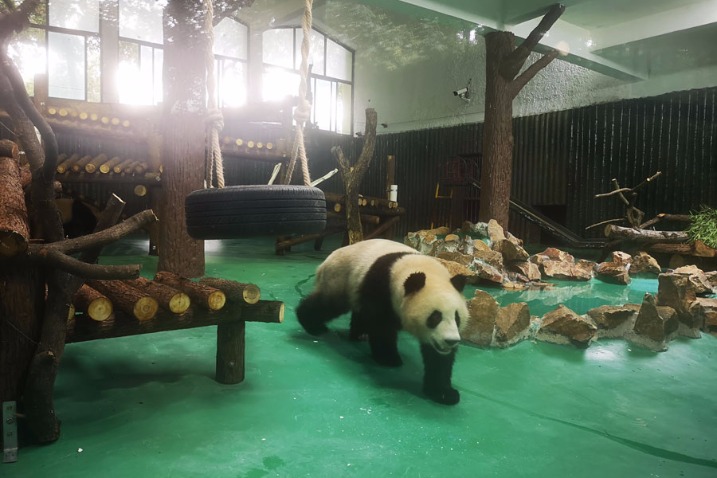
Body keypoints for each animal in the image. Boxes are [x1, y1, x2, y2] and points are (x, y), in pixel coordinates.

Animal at [296, 238, 469, 405]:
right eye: (435, 317)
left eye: (457, 317)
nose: (451, 341)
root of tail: (324, 262)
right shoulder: (381, 288)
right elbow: (381, 327)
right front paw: (389, 358)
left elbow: (438, 358)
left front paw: (444, 393)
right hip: (340, 278)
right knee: (328, 304)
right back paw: (313, 325)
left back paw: (359, 334)